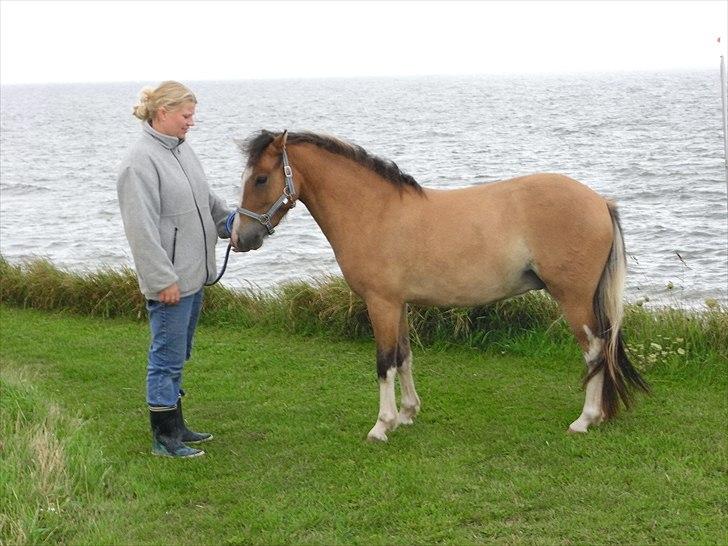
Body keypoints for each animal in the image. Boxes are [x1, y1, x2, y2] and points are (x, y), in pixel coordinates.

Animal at [229, 130, 648, 440]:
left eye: (261, 178)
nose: (239, 237)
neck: (374, 212)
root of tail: (600, 202)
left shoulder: (381, 303)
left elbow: (384, 362)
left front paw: (381, 426)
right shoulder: (398, 303)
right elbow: (404, 356)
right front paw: (407, 414)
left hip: (574, 299)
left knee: (595, 352)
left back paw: (585, 419)